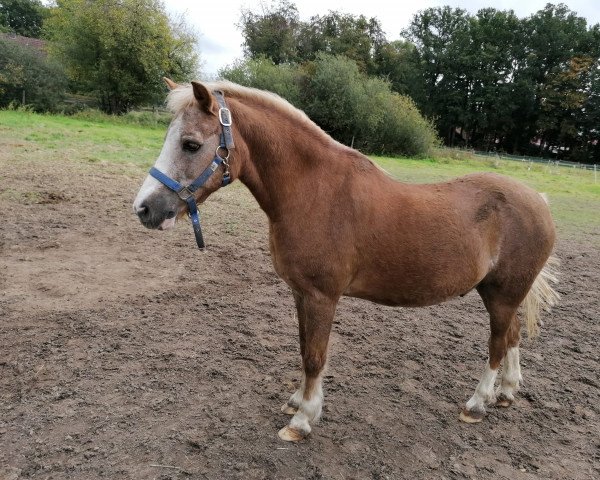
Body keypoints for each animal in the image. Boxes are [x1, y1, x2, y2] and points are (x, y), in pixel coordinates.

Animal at [131, 79, 556, 442]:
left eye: (190, 144)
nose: (144, 208)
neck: (314, 191)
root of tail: (538, 199)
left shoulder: (322, 296)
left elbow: (315, 356)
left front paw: (303, 420)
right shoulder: (301, 294)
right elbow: (304, 347)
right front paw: (298, 402)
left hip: (501, 294)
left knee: (498, 343)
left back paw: (477, 403)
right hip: (500, 294)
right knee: (513, 335)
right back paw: (506, 393)